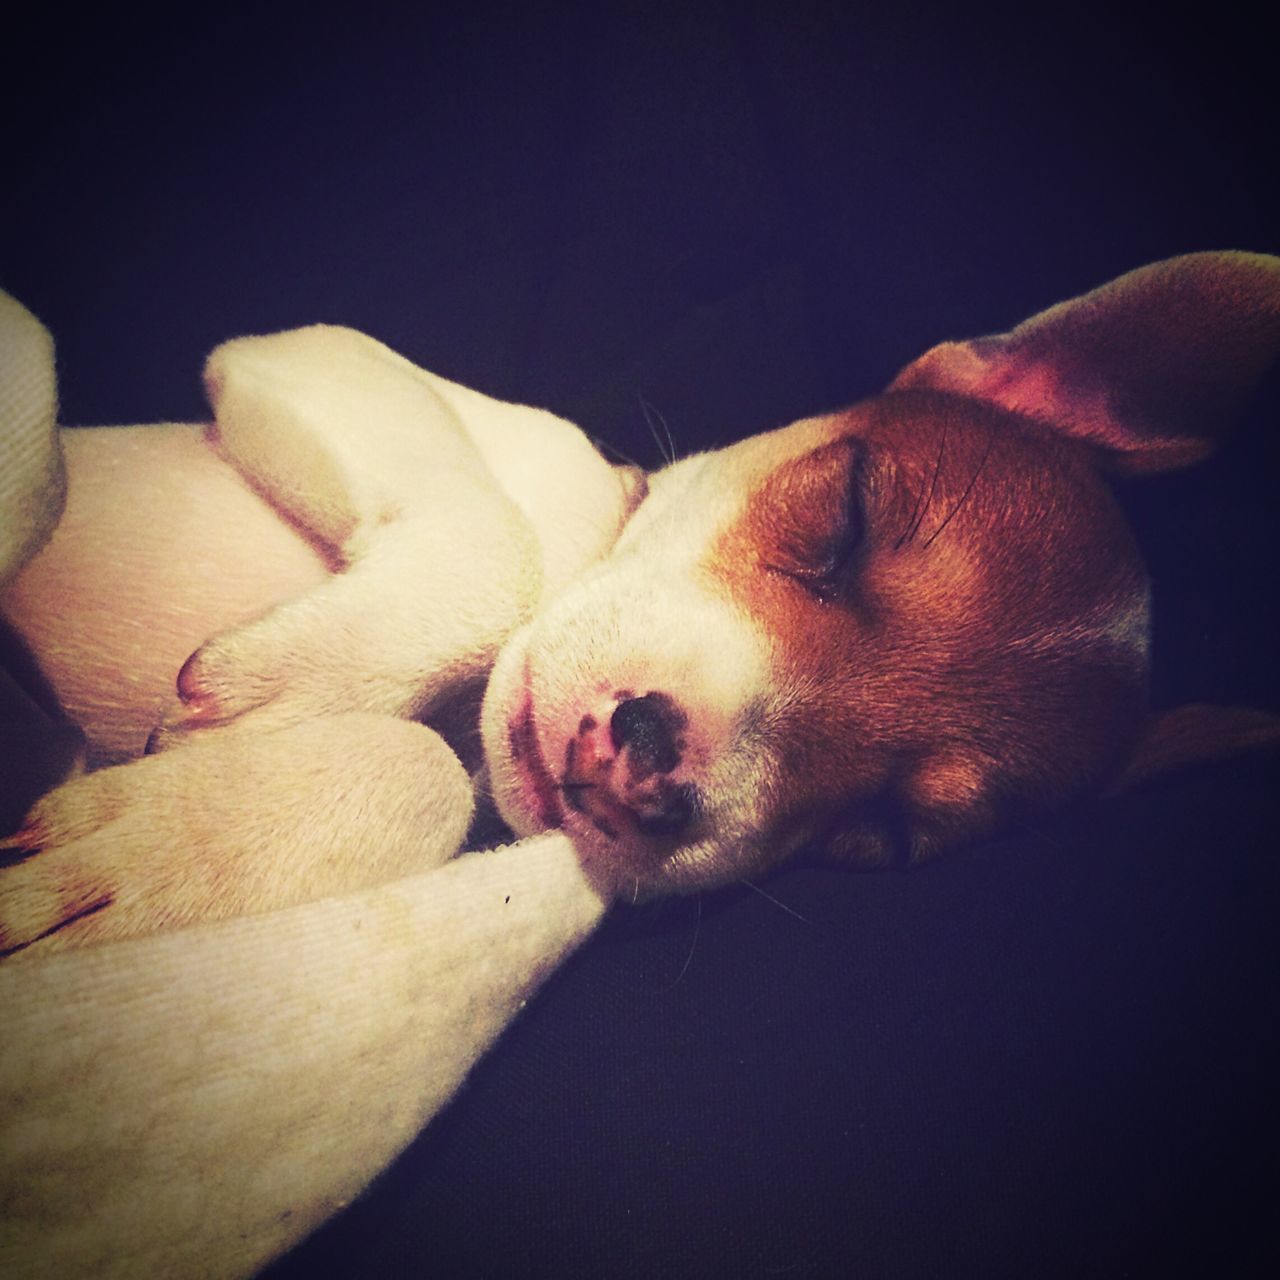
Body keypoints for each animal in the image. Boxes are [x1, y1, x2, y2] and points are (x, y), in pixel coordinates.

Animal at [2, 252, 1280, 952]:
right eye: (846, 516)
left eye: (879, 830)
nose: (649, 766)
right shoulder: (308, 357)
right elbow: (504, 553)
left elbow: (427, 775)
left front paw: (144, 862)